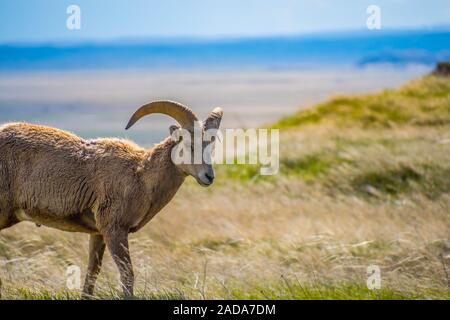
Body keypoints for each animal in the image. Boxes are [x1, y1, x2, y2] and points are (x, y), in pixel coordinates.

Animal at [0, 100, 223, 298]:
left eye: (210, 146)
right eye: (190, 145)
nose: (208, 177)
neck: (140, 176)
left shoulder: (98, 234)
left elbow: (92, 273)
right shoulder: (115, 230)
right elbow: (127, 274)